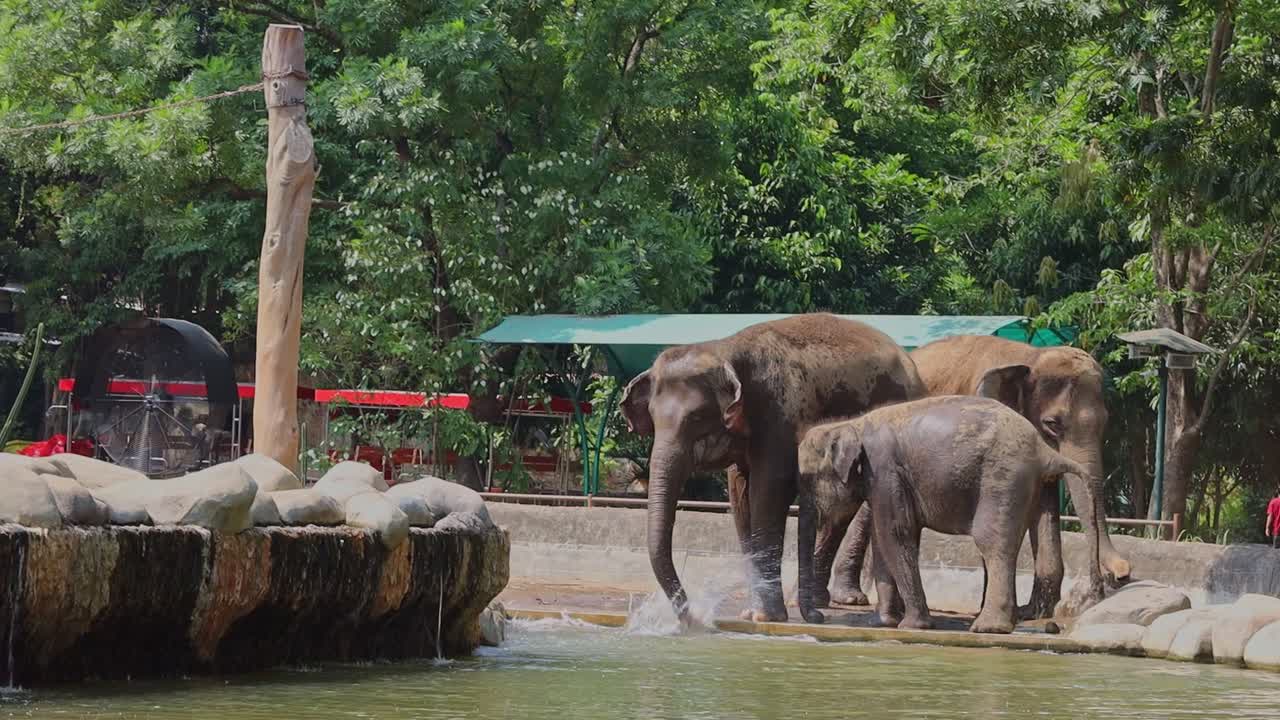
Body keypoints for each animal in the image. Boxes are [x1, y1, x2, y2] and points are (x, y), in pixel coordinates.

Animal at [620, 313, 924, 624]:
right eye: (653, 419)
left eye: (696, 417)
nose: (691, 617)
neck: (724, 348)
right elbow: (740, 495)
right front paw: (751, 613)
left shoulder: (780, 413)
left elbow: (768, 490)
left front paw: (767, 616)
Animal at [796, 396, 1103, 633]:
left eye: (808, 479)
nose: (818, 617)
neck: (850, 424)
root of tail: (1045, 451)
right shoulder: (881, 482)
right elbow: (884, 538)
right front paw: (883, 622)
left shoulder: (885, 470)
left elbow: (894, 532)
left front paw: (912, 626)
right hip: (1035, 484)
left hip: (1003, 477)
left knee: (991, 542)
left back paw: (987, 628)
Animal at [828, 335, 1132, 618]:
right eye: (1052, 424)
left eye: (1106, 422)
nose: (1121, 575)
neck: (1030, 355)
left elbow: (1044, 505)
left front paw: (1032, 613)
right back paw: (851, 598)